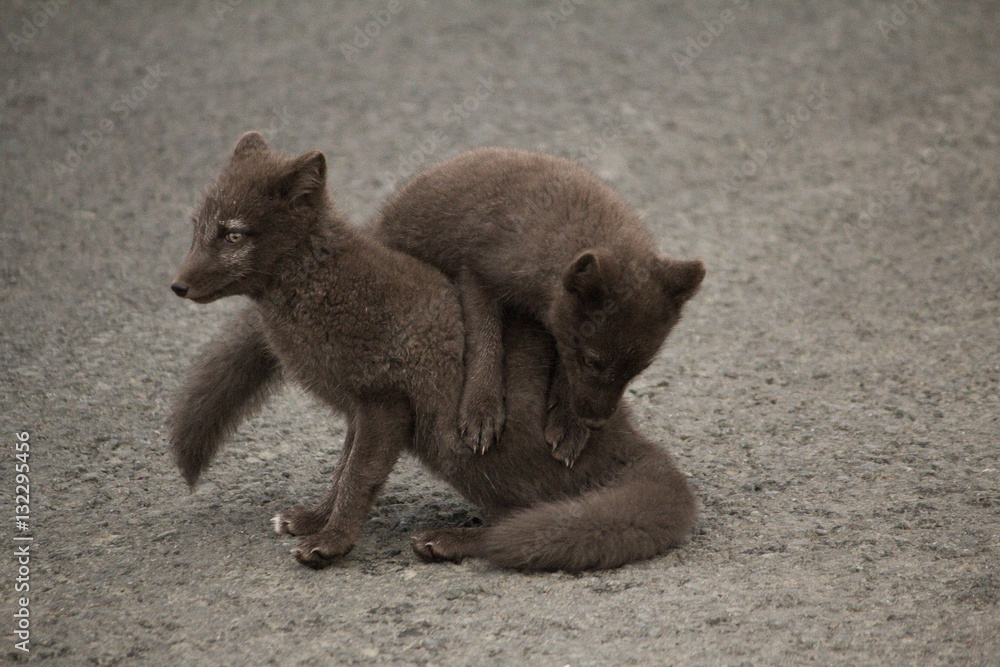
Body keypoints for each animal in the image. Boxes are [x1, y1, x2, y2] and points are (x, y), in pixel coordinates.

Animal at [378, 150, 708, 464]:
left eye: (642, 368)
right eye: (591, 361)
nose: (595, 423)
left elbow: (563, 363)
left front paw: (569, 427)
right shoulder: (476, 273)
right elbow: (485, 344)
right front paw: (481, 413)